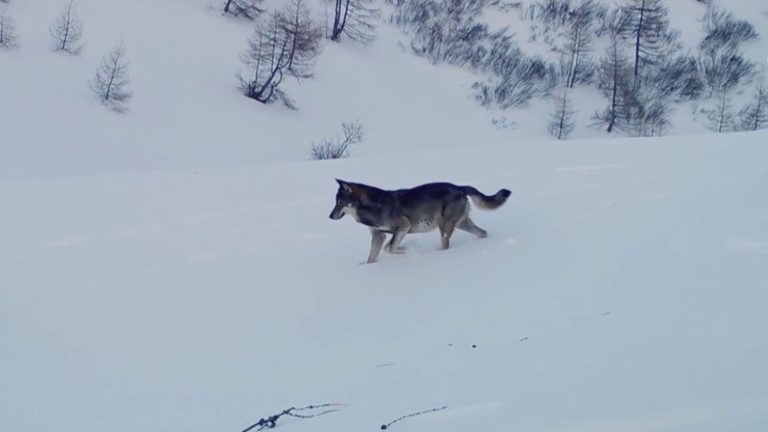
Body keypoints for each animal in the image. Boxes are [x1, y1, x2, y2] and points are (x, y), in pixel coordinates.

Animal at [326, 179, 510, 264]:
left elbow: (390, 248)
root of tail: (459, 186)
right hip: (461, 224)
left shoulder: (403, 227)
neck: (372, 207)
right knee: (482, 233)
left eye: (339, 202)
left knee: (446, 245)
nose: (330, 216)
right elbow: (372, 256)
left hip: (445, 227)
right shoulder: (379, 236)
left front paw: (409, 250)